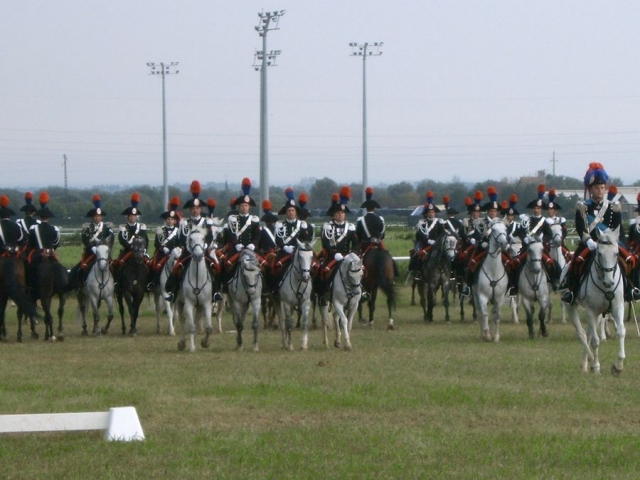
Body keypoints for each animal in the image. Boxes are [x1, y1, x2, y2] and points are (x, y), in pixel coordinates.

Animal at [568, 229, 628, 376]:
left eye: (616, 253)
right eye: (599, 254)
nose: (609, 282)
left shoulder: (618, 307)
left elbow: (621, 331)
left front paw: (618, 366)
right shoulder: (590, 310)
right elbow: (595, 341)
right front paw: (596, 367)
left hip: (598, 314)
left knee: (589, 333)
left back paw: (585, 364)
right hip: (572, 307)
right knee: (582, 334)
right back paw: (589, 361)